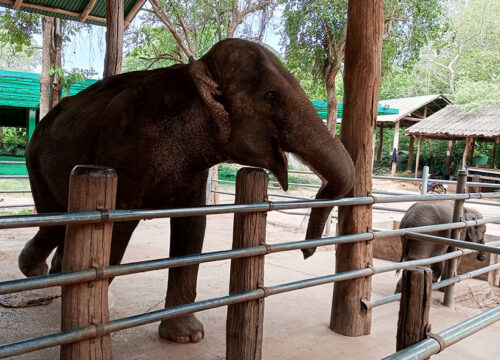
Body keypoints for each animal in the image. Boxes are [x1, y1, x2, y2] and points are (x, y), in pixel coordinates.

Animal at [18, 39, 356, 344]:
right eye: (271, 96)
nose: (306, 252)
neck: (198, 73)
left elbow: (192, 227)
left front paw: (186, 336)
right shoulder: (126, 153)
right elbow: (116, 229)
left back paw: (53, 272)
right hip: (35, 162)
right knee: (55, 218)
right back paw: (37, 271)